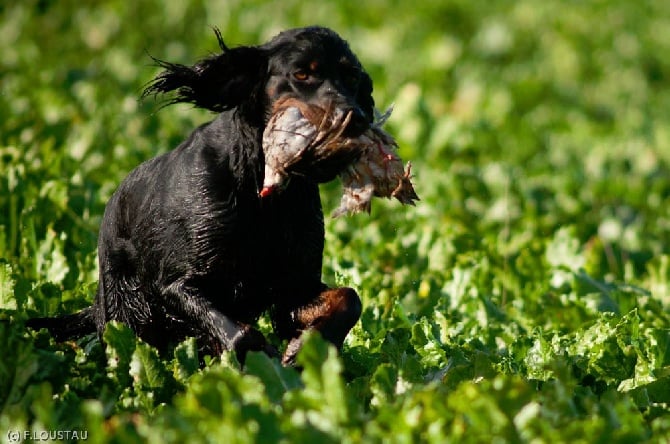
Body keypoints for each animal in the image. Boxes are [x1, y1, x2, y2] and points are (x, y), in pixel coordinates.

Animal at [27, 25, 372, 364]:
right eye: (301, 74)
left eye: (352, 77)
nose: (354, 118)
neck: (260, 193)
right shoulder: (177, 285)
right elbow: (239, 333)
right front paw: (265, 358)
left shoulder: (293, 288)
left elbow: (349, 298)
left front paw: (304, 347)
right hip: (127, 316)